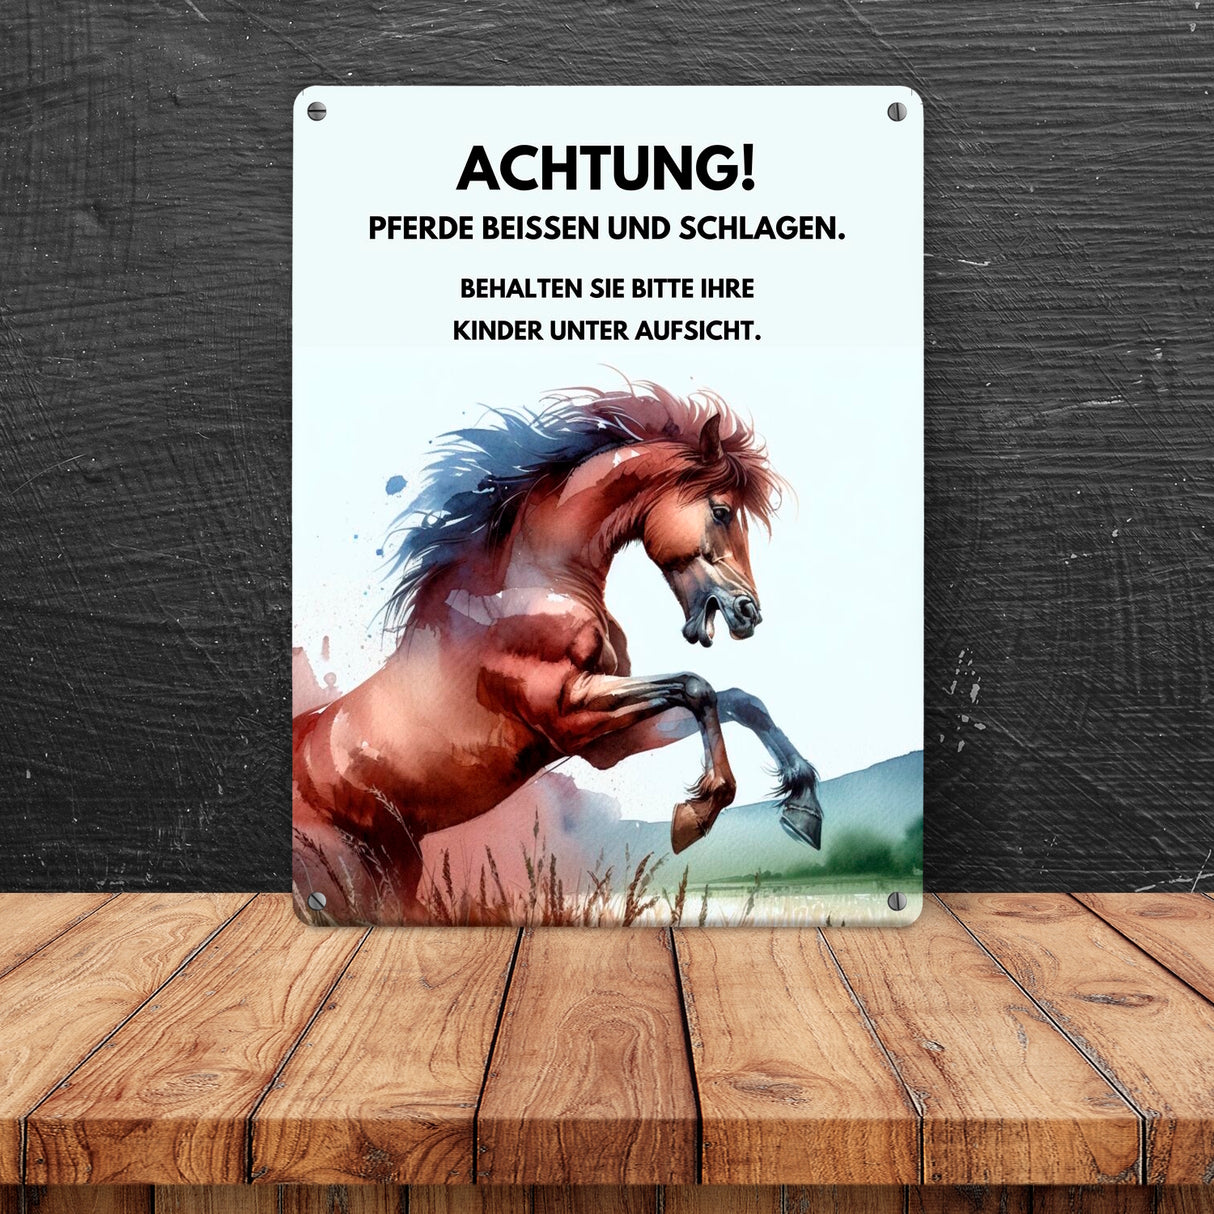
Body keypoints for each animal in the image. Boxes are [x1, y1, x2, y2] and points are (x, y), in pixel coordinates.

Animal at [292, 382, 824, 922]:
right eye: (721, 511)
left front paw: (803, 808)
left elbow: (740, 700)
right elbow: (697, 686)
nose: (748, 613)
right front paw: (699, 812)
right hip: (363, 873)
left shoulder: (603, 744)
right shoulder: (566, 712)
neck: (538, 584)